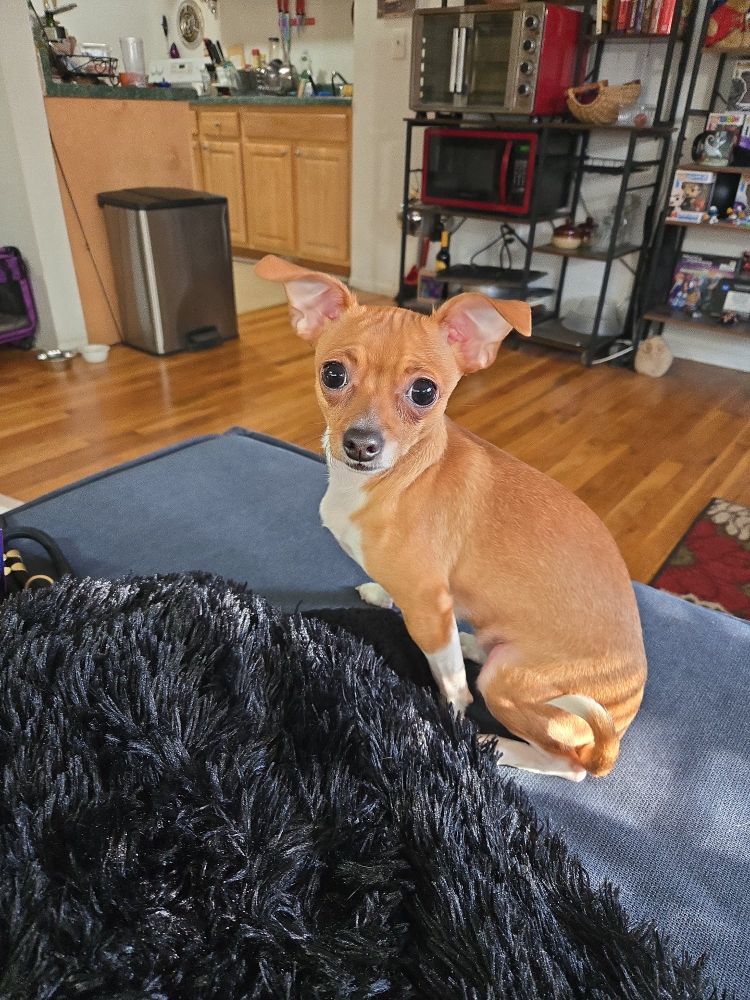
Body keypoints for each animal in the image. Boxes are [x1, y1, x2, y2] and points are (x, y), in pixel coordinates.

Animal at [255, 255, 647, 781]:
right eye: (332, 374)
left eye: (424, 391)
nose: (360, 444)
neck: (391, 481)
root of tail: (619, 731)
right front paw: (380, 592)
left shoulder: (430, 605)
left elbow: (453, 684)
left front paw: (451, 721)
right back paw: (474, 643)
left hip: (509, 683)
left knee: (566, 763)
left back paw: (494, 743)